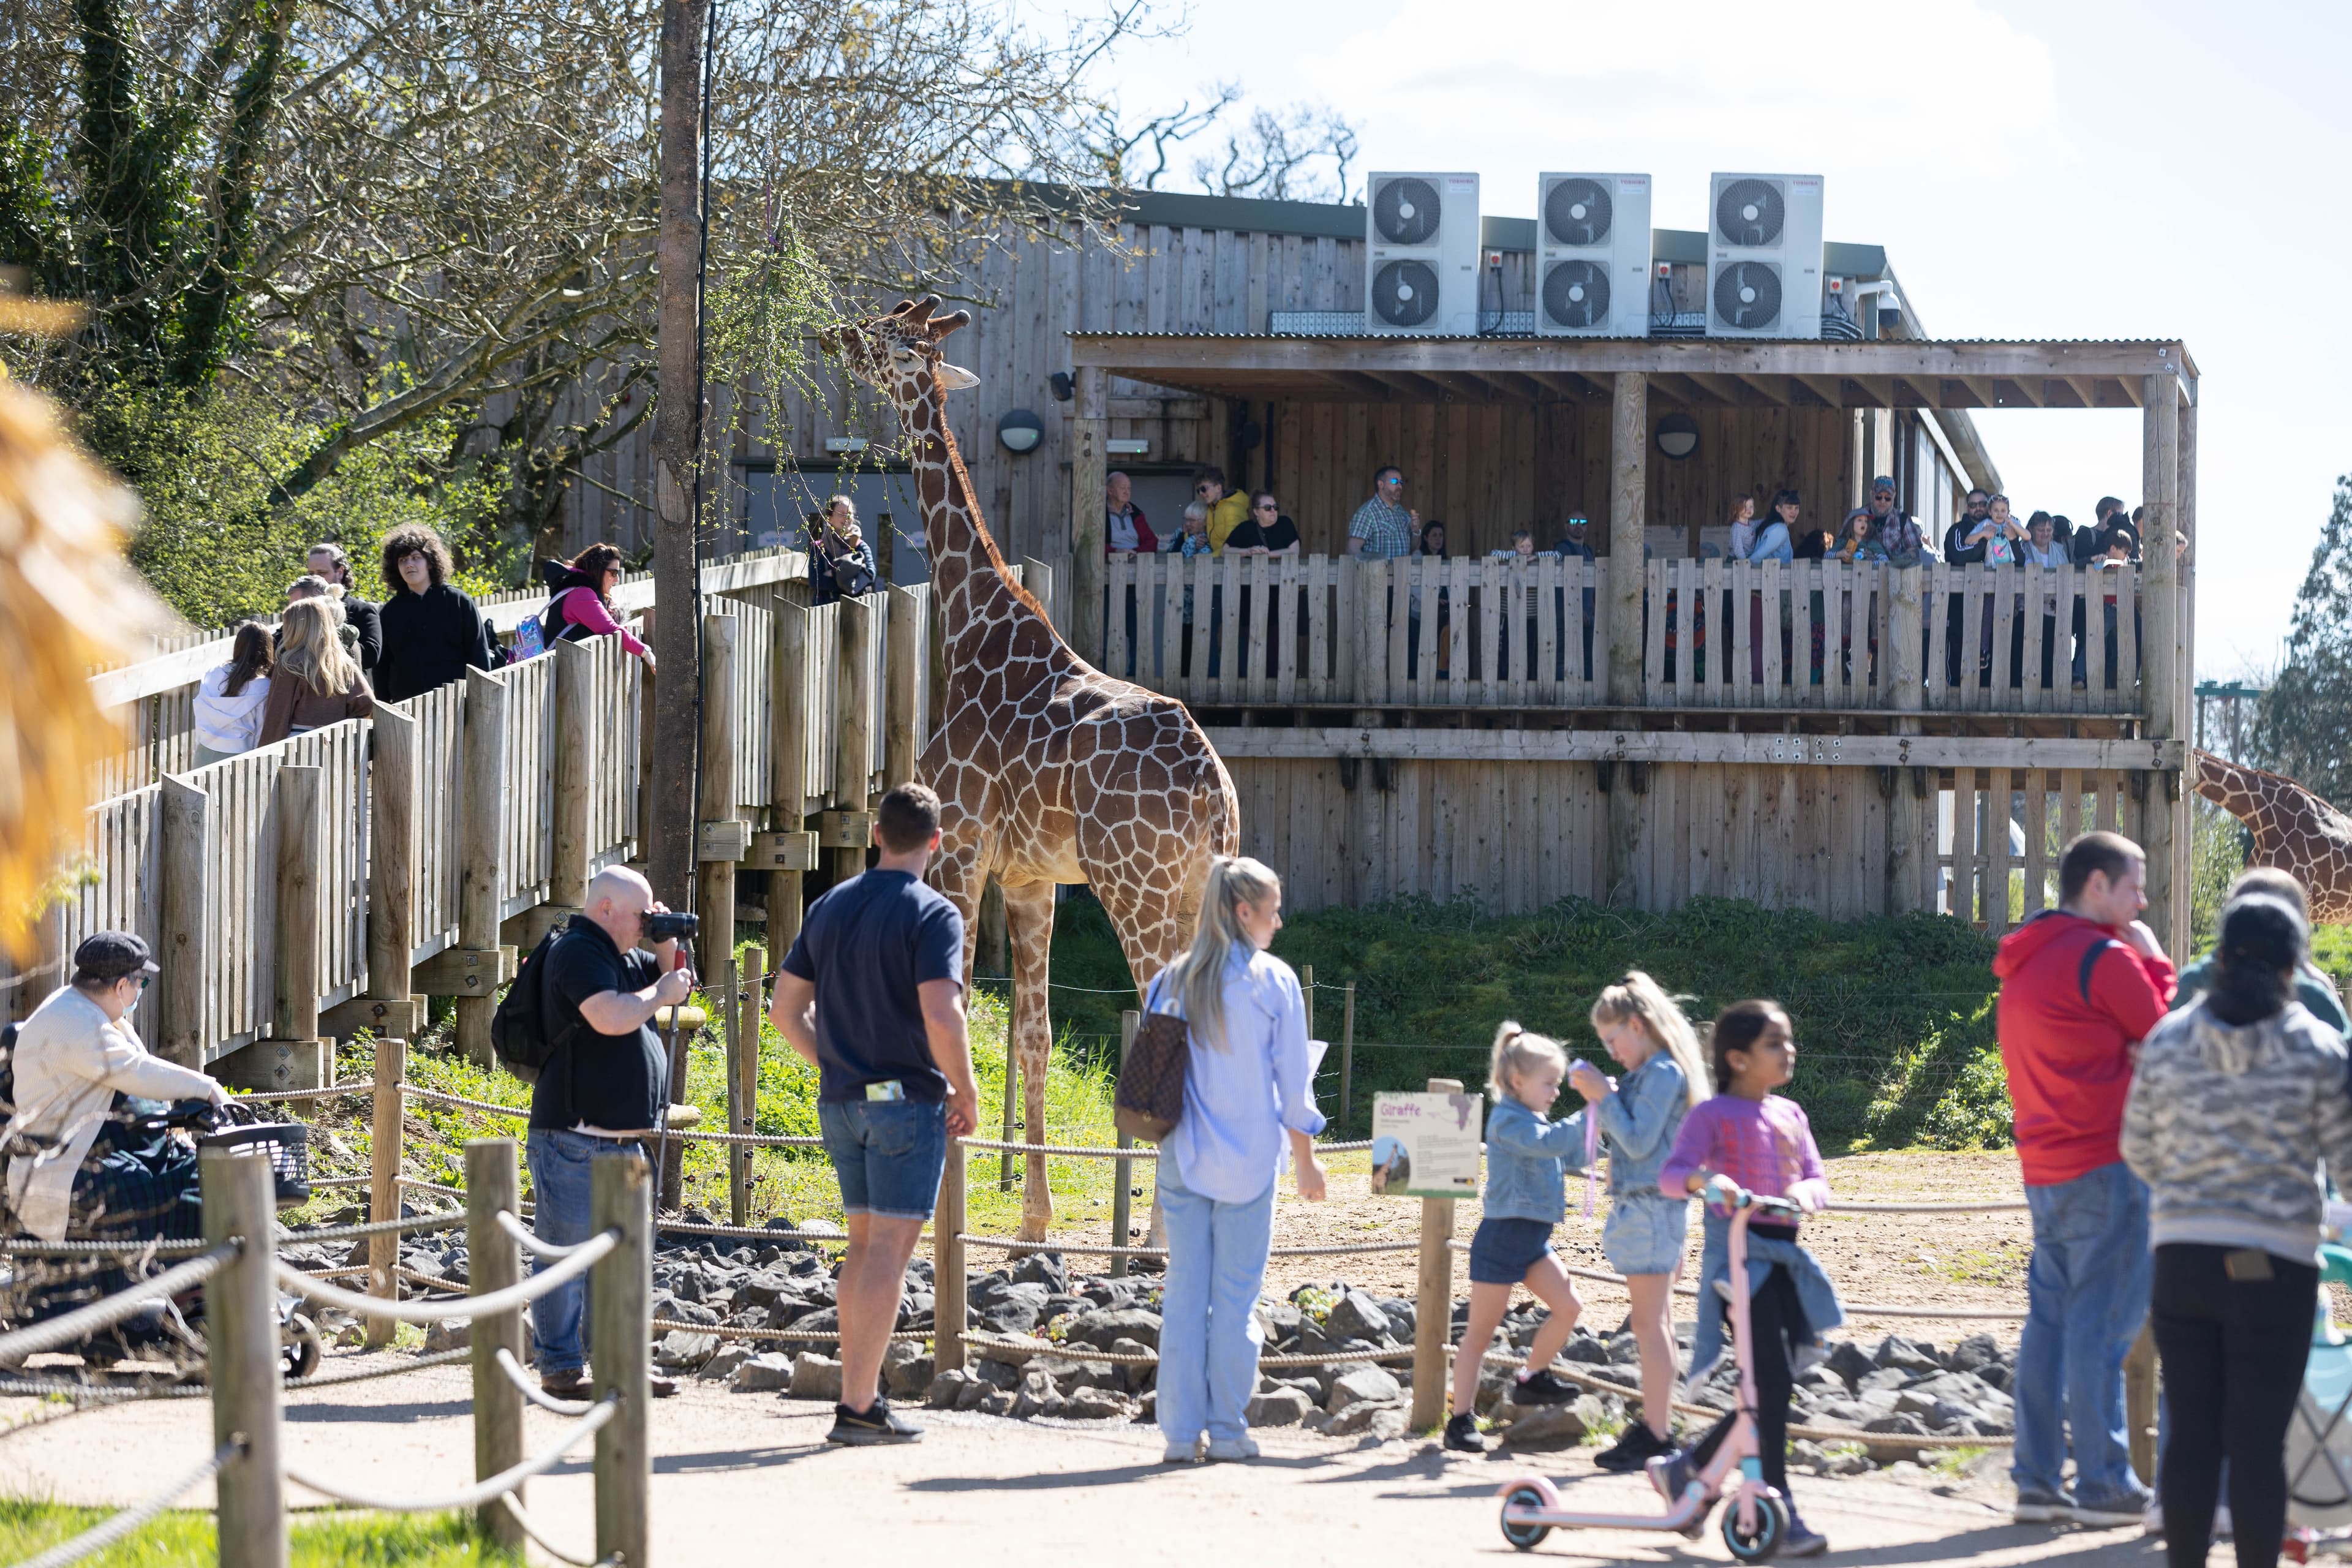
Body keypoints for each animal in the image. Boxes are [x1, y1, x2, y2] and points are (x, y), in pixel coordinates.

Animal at [831, 296, 1241, 1240]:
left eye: (881, 335)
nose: (830, 334)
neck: (972, 625)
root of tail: (1213, 789)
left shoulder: (958, 851)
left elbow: (948, 1020)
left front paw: (945, 1209)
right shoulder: (1031, 880)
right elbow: (1033, 1034)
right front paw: (1031, 1220)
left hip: (1137, 888)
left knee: (1174, 1022)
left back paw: (1160, 1234)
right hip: (1193, 890)